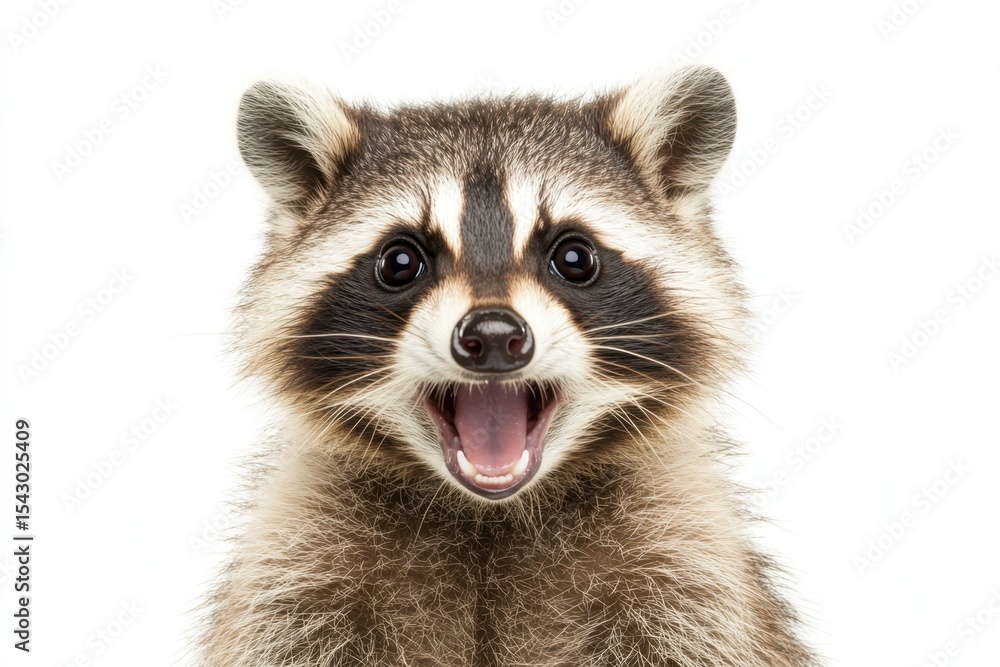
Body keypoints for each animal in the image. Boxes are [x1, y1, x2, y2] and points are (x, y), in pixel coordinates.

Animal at [201, 65, 817, 666]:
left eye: (574, 257)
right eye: (400, 261)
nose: (494, 335)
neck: (490, 514)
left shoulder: (689, 575)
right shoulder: (296, 575)